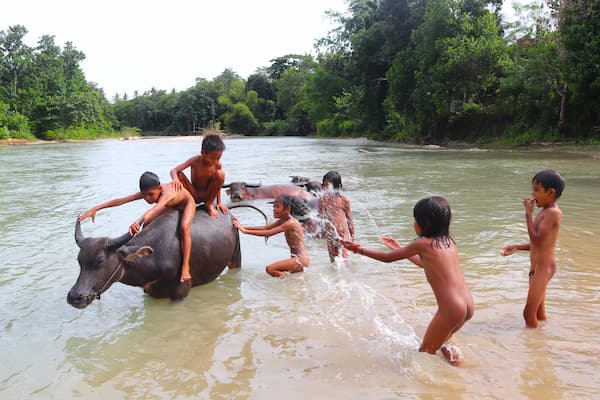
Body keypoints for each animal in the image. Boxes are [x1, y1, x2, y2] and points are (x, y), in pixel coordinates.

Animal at [67, 208, 240, 308]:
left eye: (100, 261)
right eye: (79, 260)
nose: (75, 297)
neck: (155, 258)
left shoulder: (180, 294)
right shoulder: (149, 292)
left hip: (236, 257)